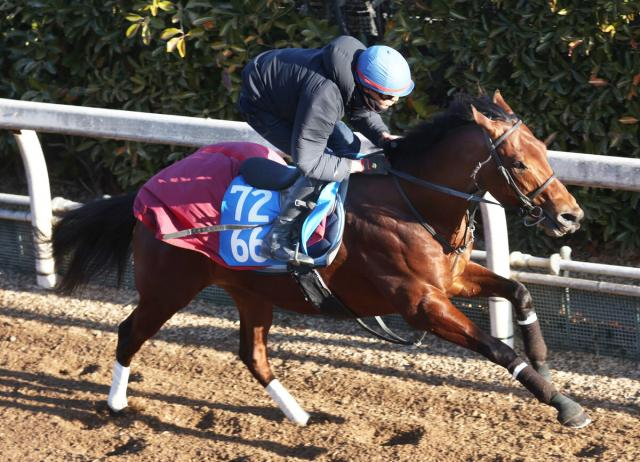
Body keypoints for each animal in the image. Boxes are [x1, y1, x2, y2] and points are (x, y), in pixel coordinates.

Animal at [51, 91, 592, 430]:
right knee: (130, 332)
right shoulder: (421, 304)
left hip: (250, 291)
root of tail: (143, 192)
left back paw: (301, 416)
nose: (570, 216)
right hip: (170, 286)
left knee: (253, 355)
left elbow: (518, 291)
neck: (411, 202)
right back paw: (117, 404)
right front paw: (565, 405)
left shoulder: (454, 280)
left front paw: (544, 361)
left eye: (544, 150)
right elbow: (498, 350)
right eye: (518, 162)